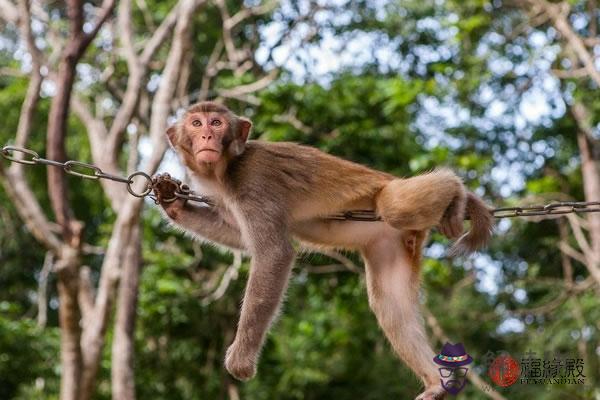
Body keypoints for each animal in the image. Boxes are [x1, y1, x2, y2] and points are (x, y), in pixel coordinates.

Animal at [155, 102, 492, 400]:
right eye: (196, 123)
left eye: (216, 123)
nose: (206, 137)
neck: (227, 169)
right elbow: (238, 237)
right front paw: (173, 203)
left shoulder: (252, 182)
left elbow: (274, 252)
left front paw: (240, 360)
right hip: (391, 243)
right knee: (391, 305)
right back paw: (436, 383)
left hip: (391, 196)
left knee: (393, 205)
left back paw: (456, 189)